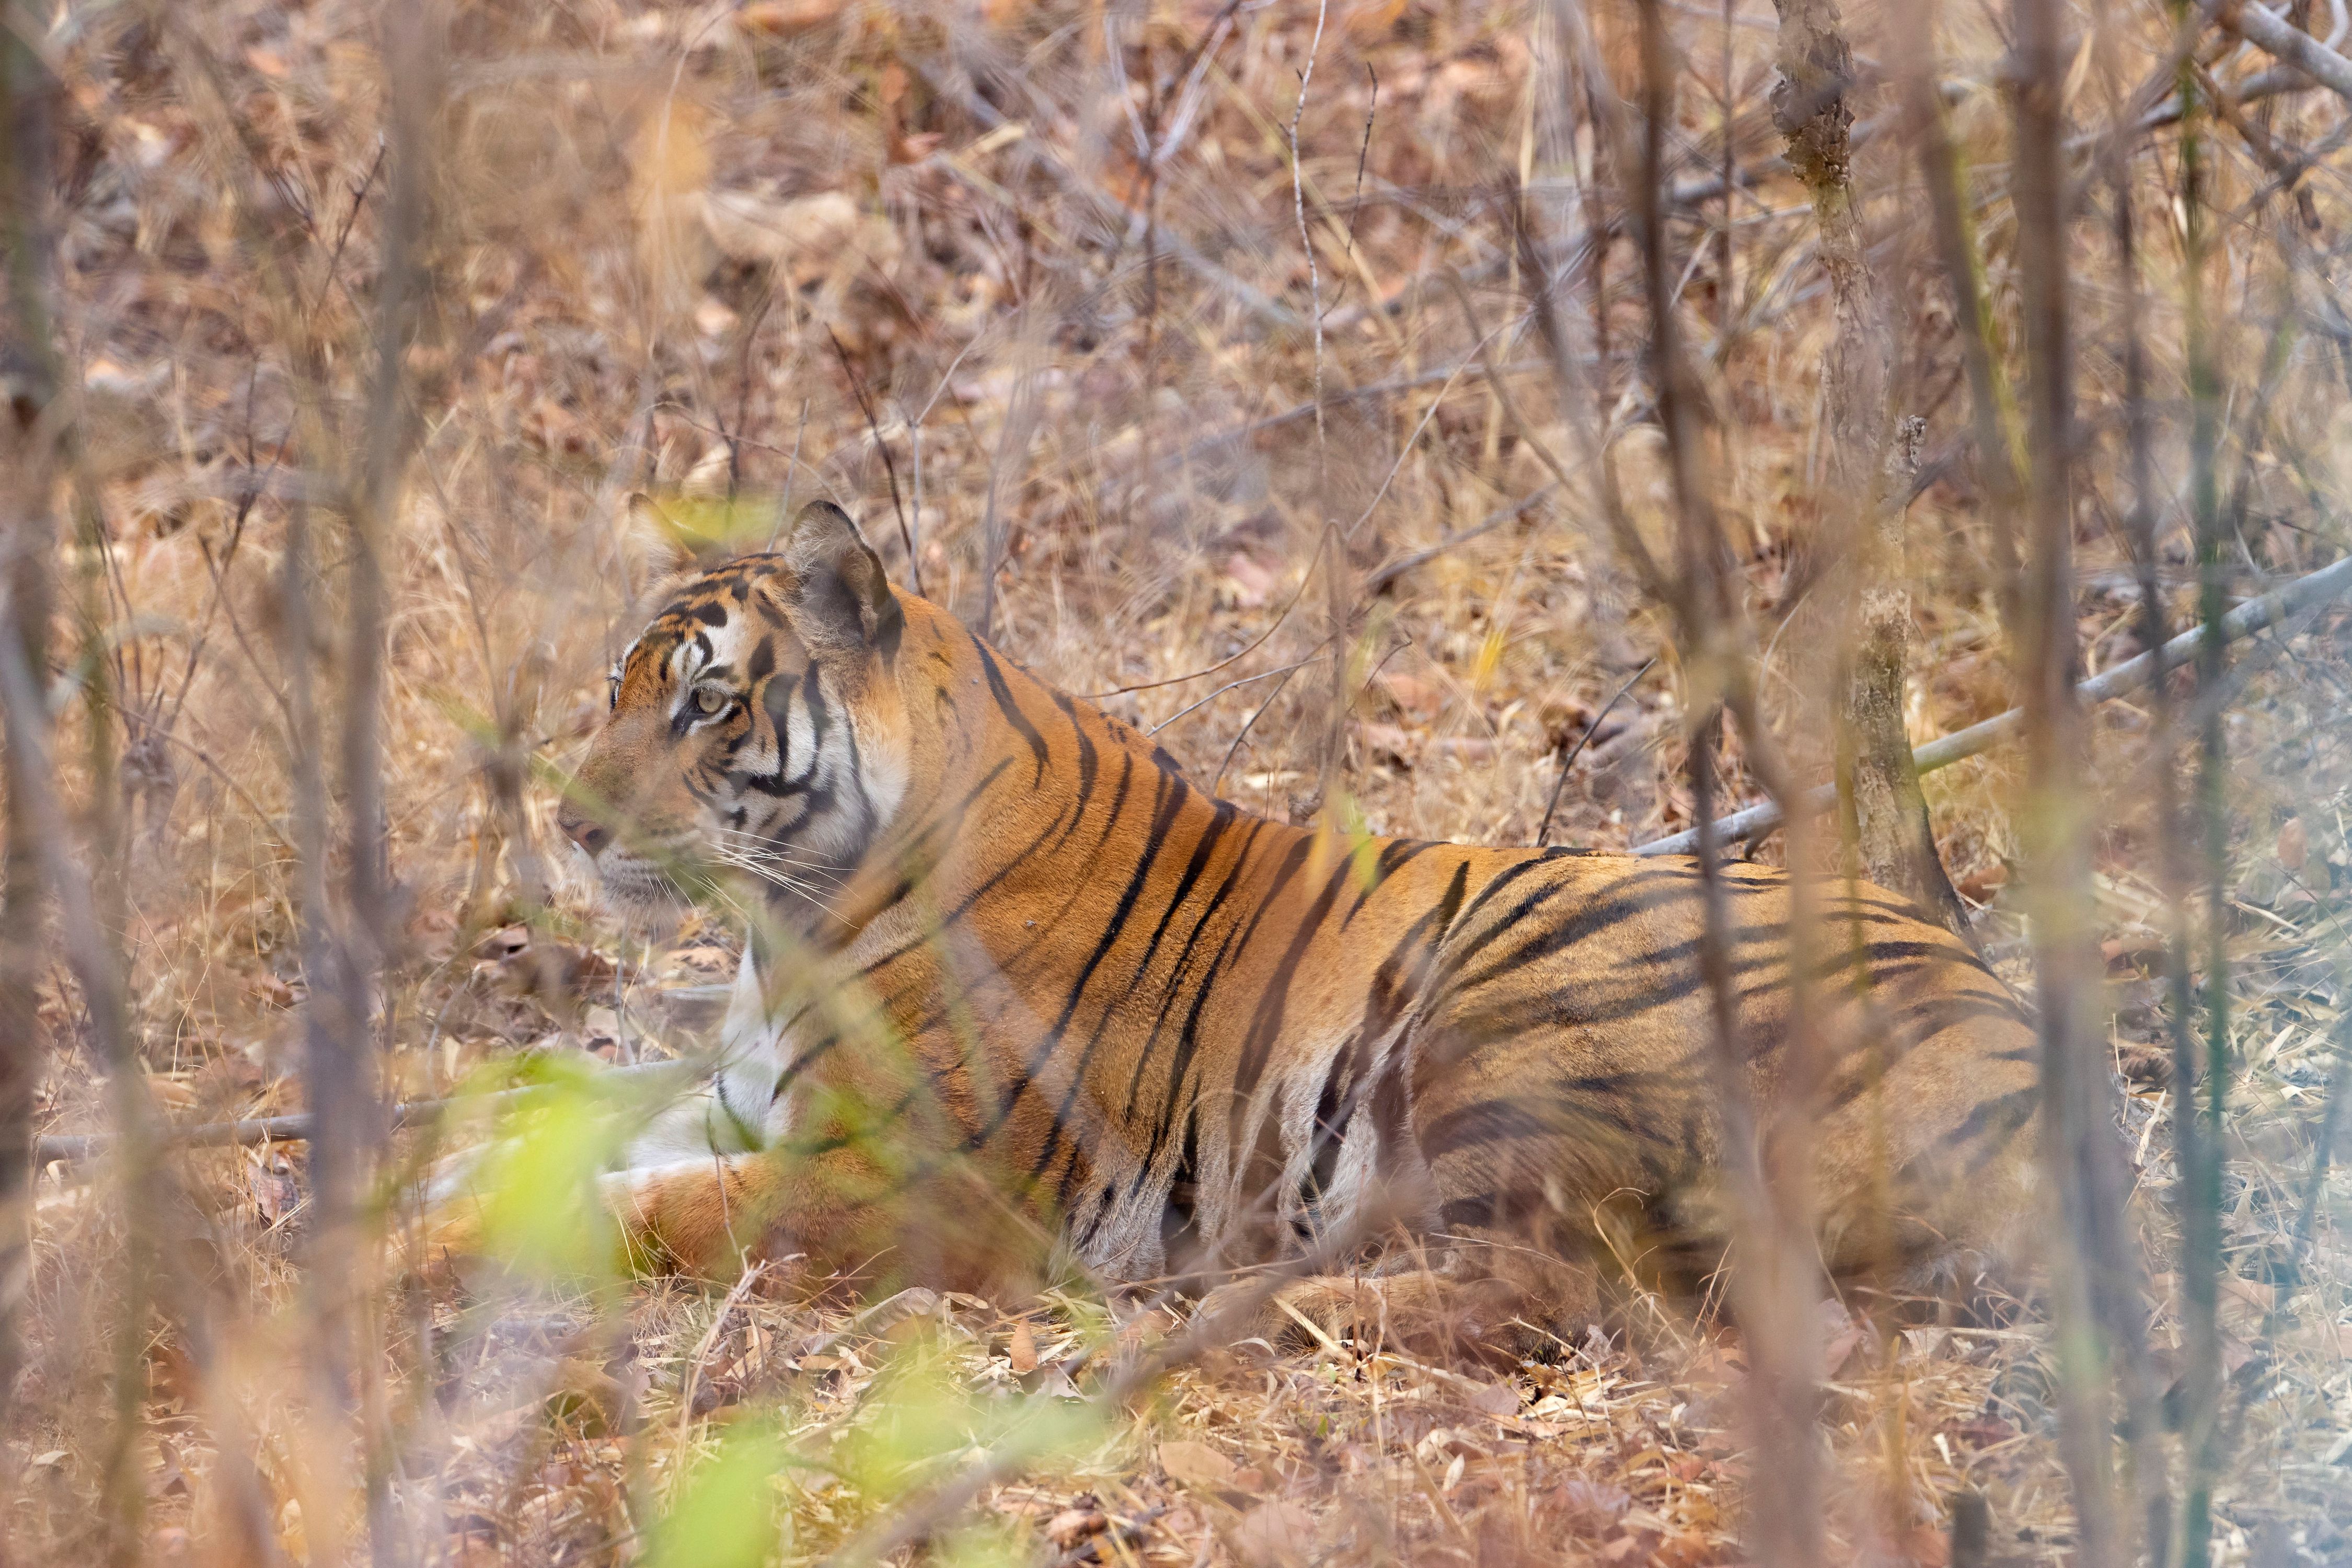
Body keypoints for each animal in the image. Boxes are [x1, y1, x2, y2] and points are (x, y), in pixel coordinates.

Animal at [425, 496, 2041, 1355]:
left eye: (706, 702)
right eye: (615, 690)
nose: (571, 824)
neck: (792, 917)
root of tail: (2015, 1049)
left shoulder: (898, 1180)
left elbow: (619, 1213)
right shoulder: (742, 1103)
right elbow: (538, 1132)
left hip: (1508, 995)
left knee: (1545, 1284)